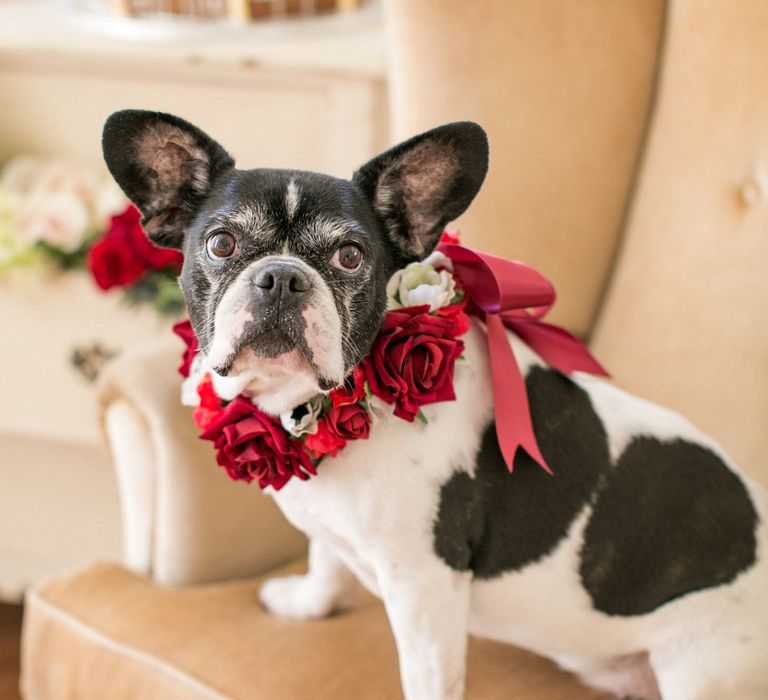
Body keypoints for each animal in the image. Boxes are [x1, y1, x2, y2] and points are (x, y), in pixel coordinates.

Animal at [103, 110, 768, 700]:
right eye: (221, 243)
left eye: (350, 256)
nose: (283, 277)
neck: (309, 402)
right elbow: (325, 559)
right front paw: (307, 603)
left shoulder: (425, 591)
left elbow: (427, 677)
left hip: (703, 668)